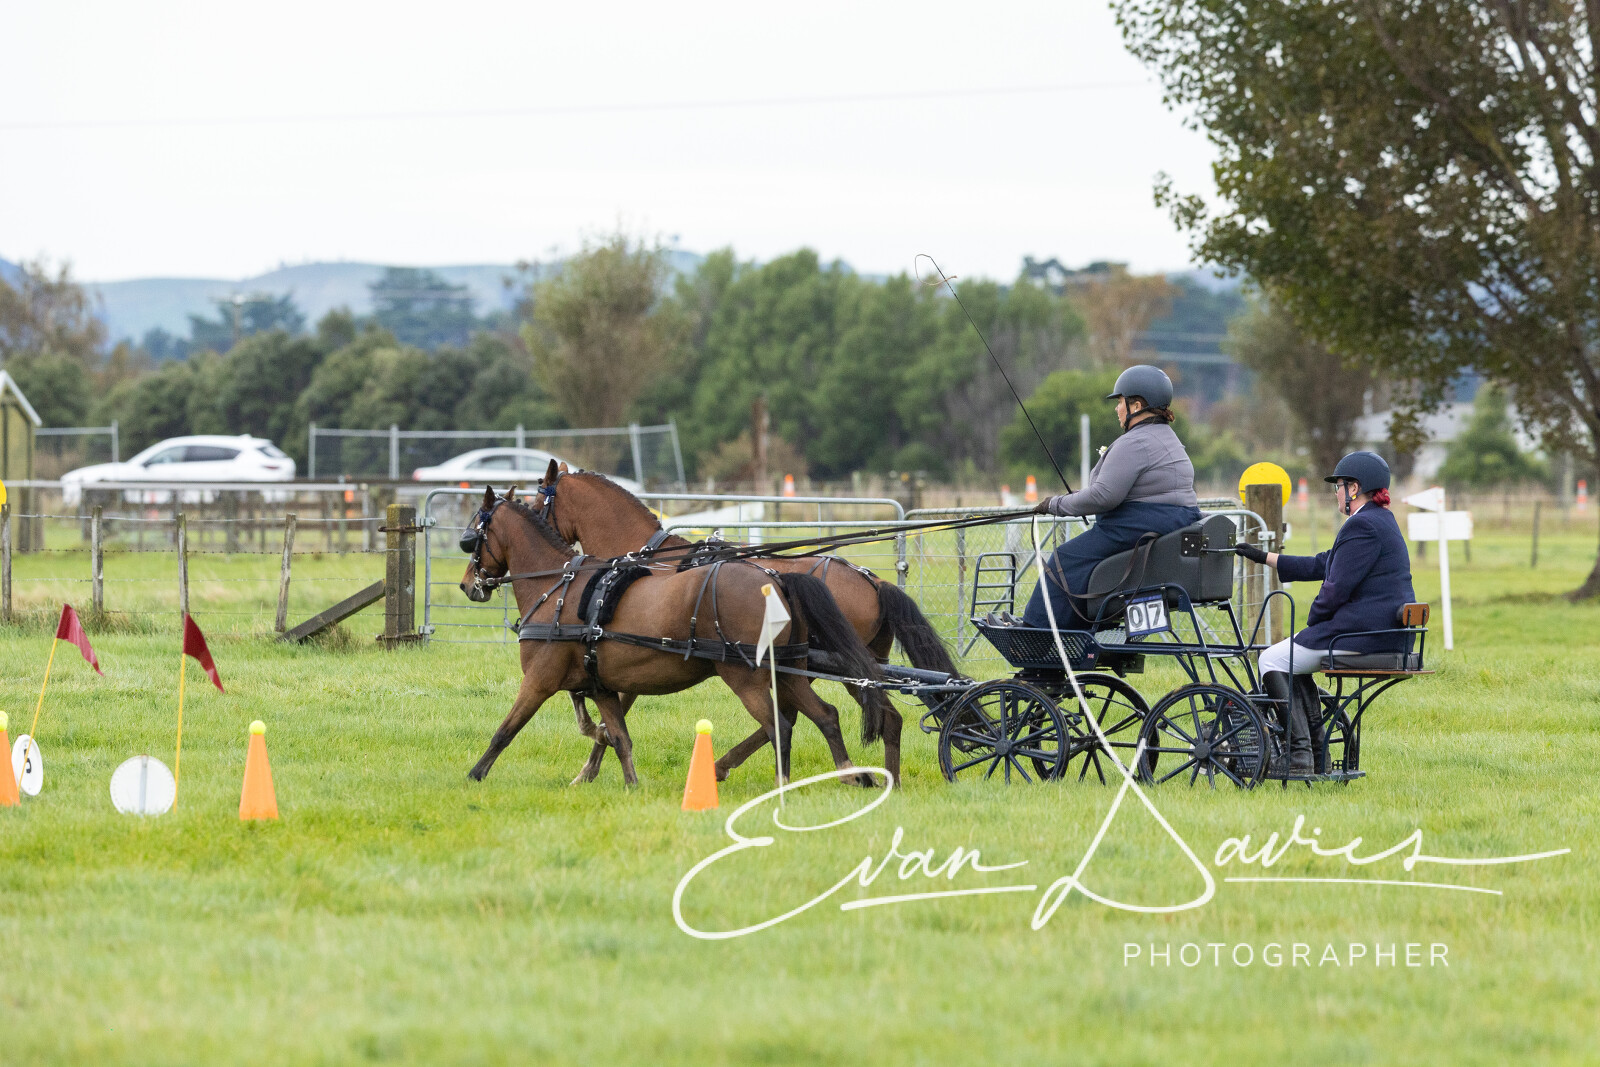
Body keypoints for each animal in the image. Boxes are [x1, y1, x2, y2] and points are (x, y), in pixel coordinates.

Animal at [458, 486, 885, 786]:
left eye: (472, 538)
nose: (467, 585)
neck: (556, 586)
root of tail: (776, 579)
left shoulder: (539, 681)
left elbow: (505, 731)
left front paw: (474, 775)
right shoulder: (602, 687)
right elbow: (619, 737)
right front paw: (629, 785)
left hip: (747, 678)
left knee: (779, 725)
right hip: (790, 671)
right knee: (825, 716)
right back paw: (850, 773)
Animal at [533, 460, 960, 783]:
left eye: (537, 501)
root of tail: (875, 581)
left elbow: (614, 716)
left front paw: (587, 769)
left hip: (831, 668)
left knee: (834, 717)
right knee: (879, 717)